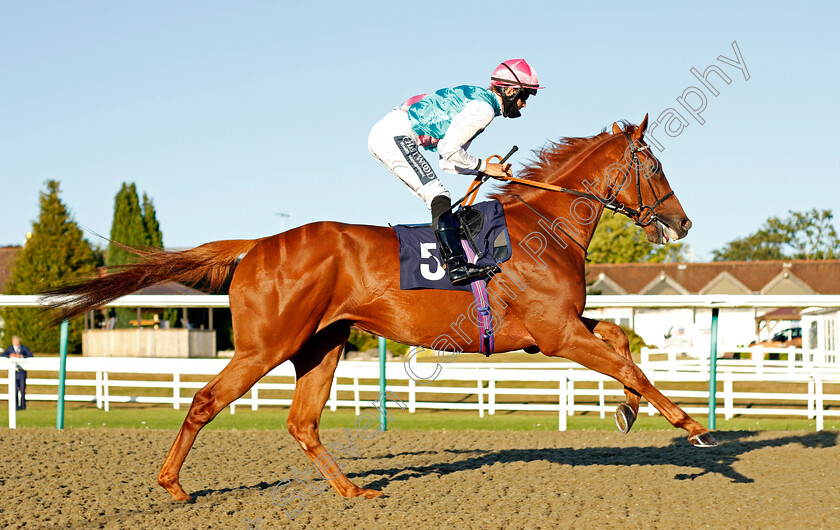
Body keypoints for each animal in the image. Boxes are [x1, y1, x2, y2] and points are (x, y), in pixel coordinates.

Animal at [44, 114, 716, 500]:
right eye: (656, 165)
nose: (683, 222)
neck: (541, 225)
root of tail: (256, 245)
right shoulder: (554, 335)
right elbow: (629, 364)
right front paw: (694, 426)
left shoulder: (555, 329)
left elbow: (622, 339)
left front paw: (628, 413)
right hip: (268, 344)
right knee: (207, 400)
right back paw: (173, 485)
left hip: (323, 344)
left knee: (302, 422)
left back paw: (351, 492)